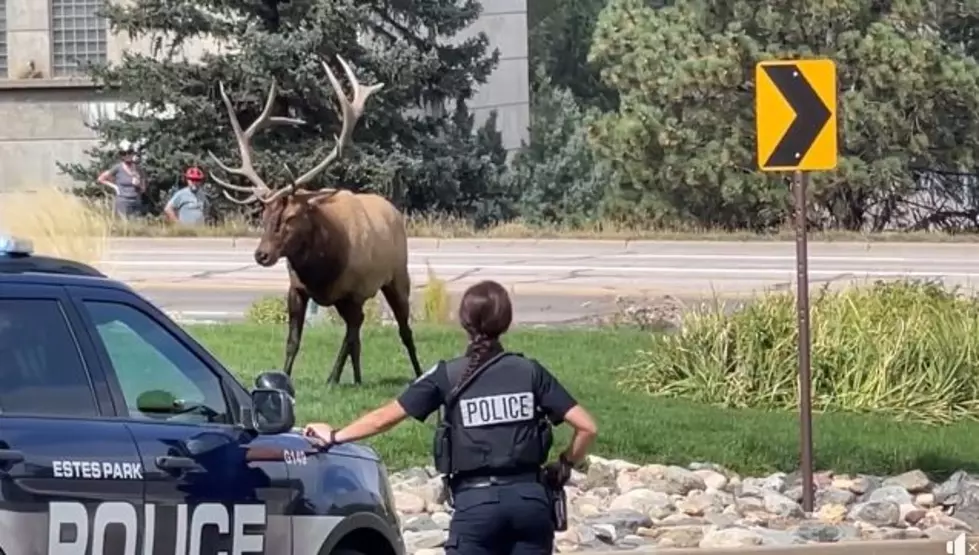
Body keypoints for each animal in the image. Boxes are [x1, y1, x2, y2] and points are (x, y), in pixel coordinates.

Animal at [207, 57, 422, 386]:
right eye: (263, 216)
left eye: (291, 217)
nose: (262, 254)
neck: (322, 268)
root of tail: (394, 210)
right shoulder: (297, 289)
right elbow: (293, 341)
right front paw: (283, 377)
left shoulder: (354, 292)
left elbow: (350, 336)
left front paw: (332, 379)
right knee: (359, 337)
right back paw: (357, 378)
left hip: (398, 276)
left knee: (403, 330)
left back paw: (417, 372)